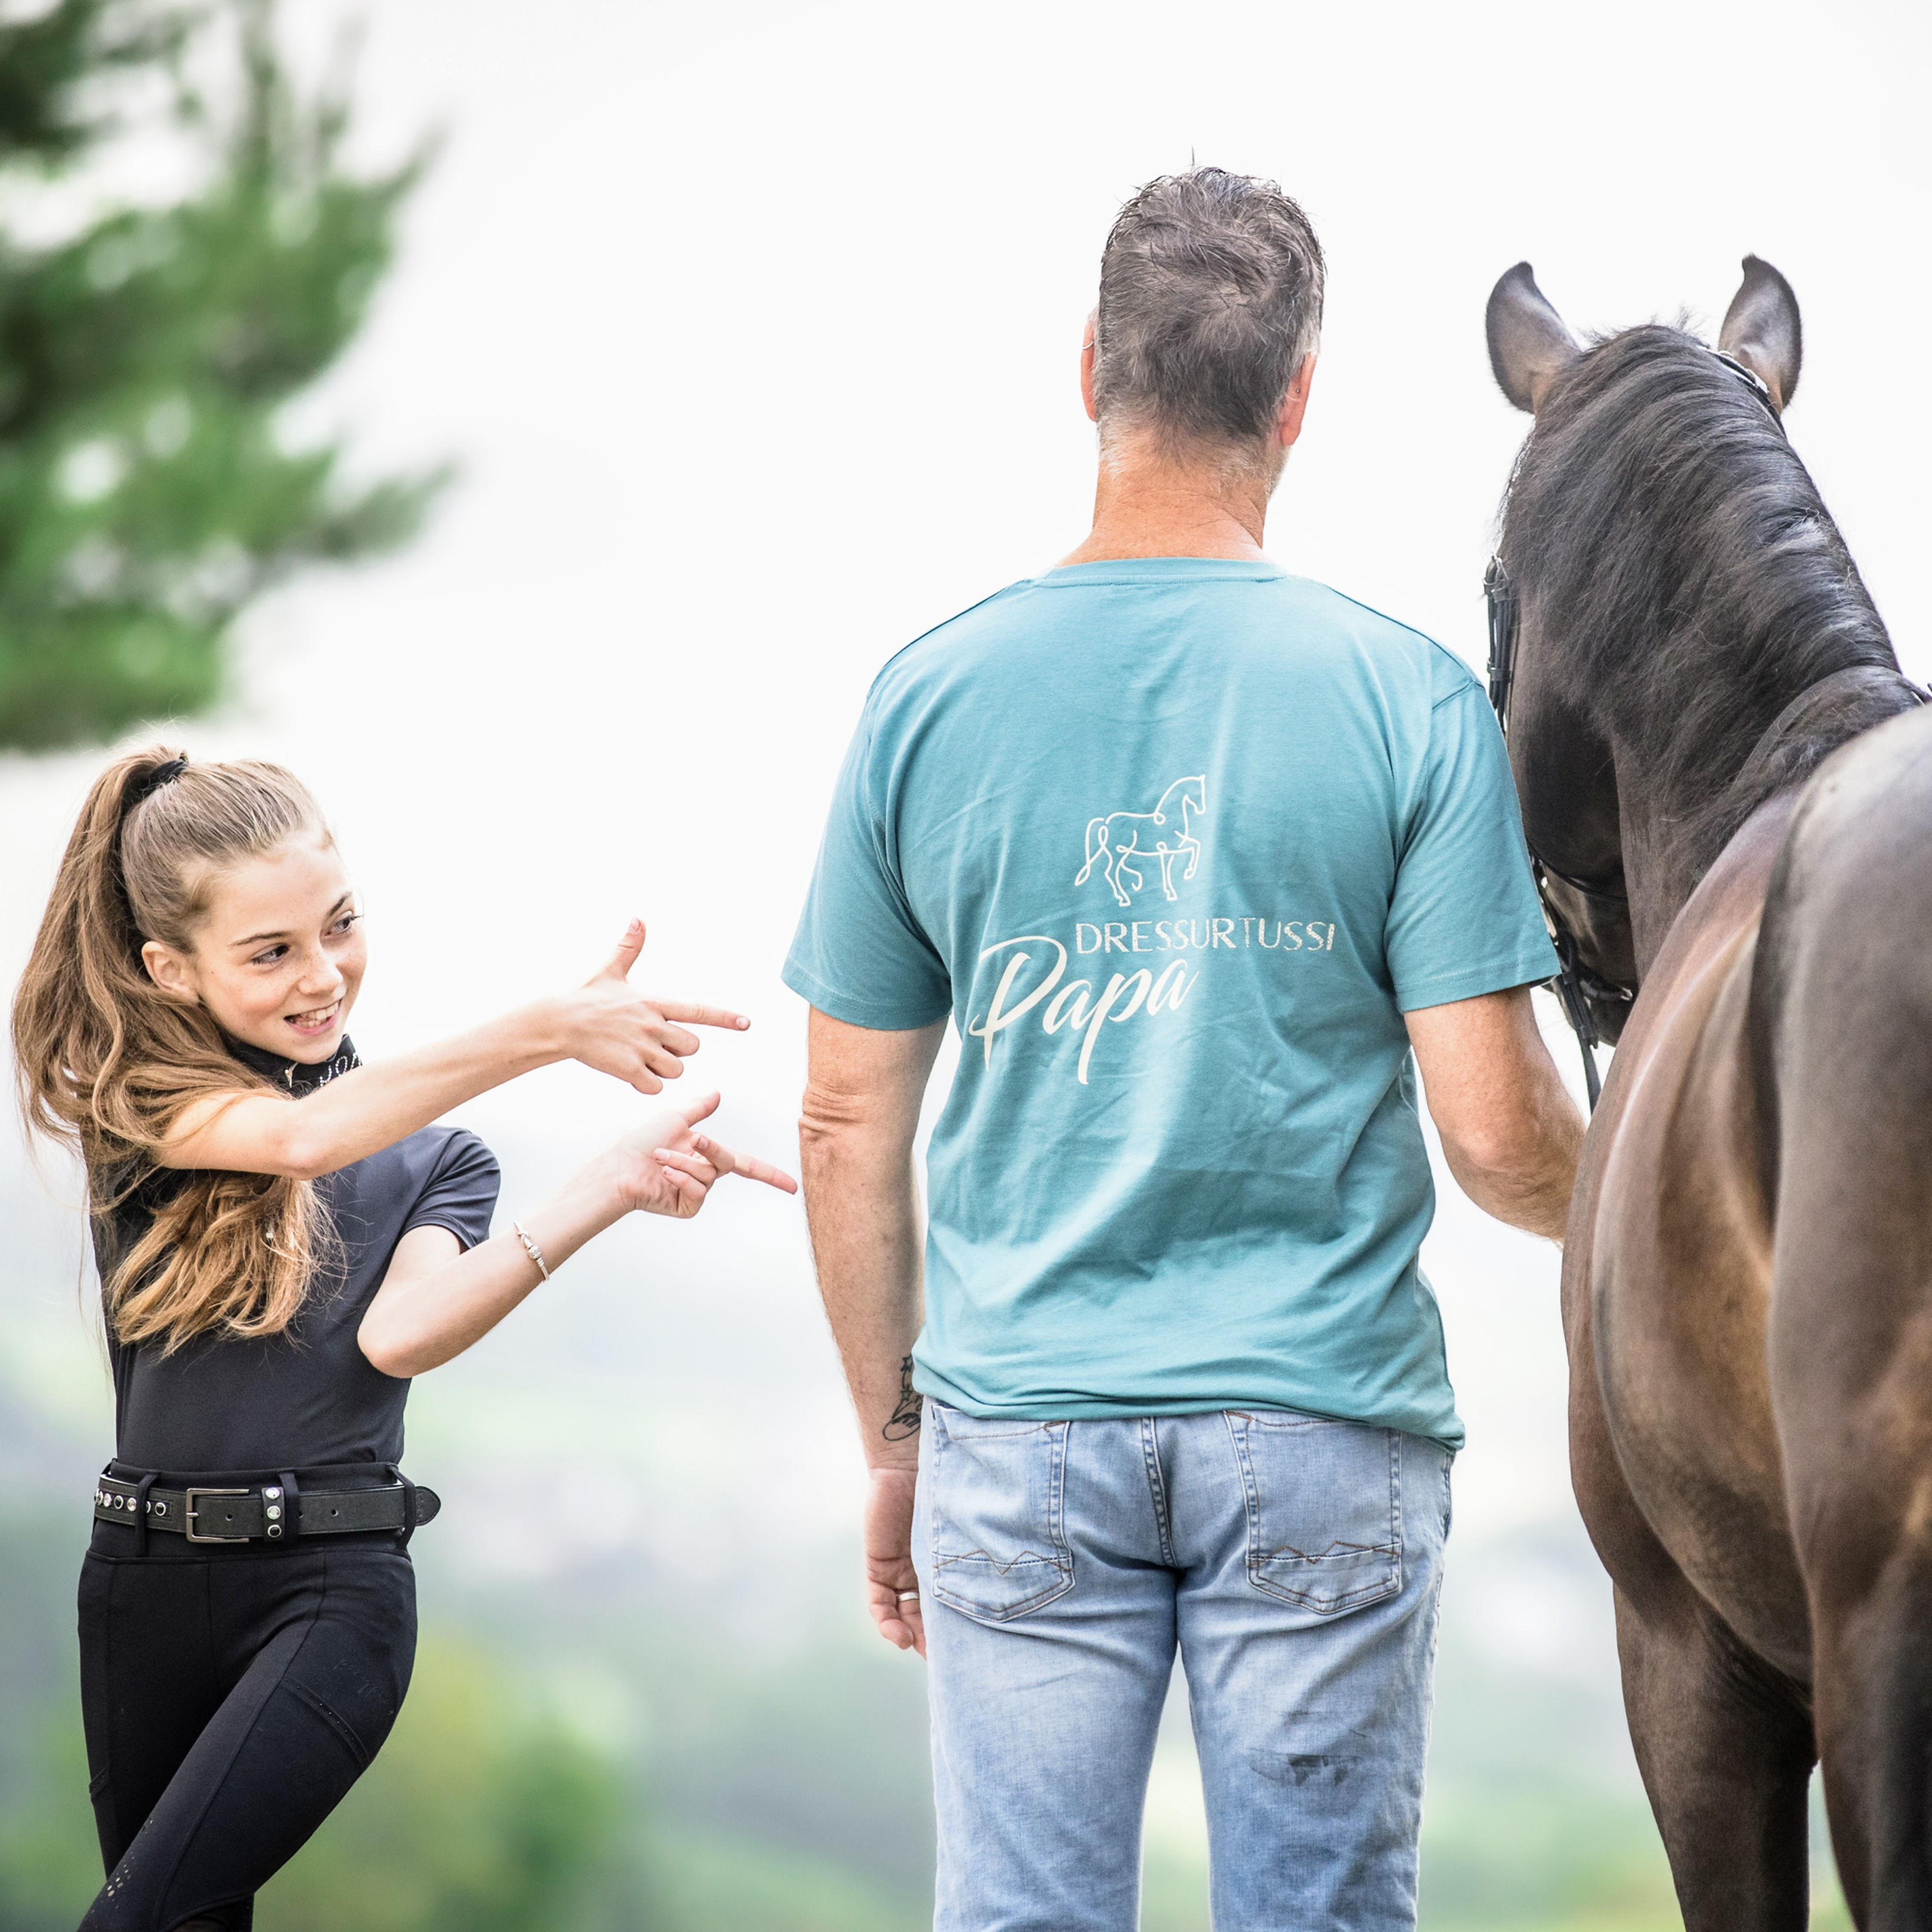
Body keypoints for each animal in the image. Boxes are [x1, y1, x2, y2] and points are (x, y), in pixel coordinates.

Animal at [1073, 775, 1207, 908]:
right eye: (1198, 791)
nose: (1201, 810)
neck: (1169, 819)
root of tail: (1105, 822)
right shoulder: (1168, 849)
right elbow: (1192, 849)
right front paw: (1185, 877)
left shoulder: (1172, 849)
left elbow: (1193, 847)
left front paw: (1181, 878)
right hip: (1117, 853)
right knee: (1111, 872)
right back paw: (1124, 897)